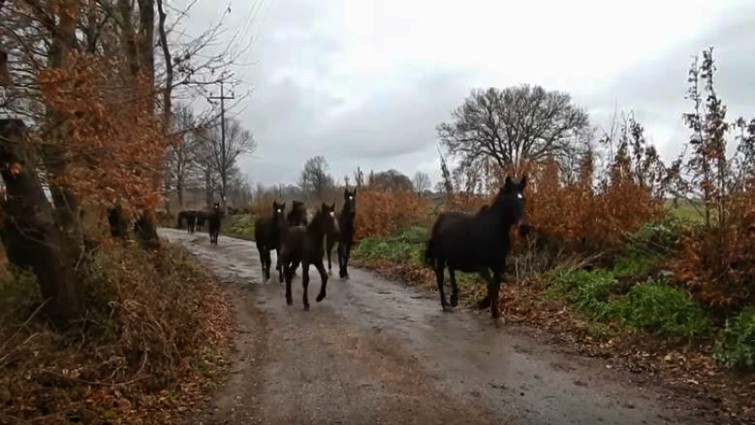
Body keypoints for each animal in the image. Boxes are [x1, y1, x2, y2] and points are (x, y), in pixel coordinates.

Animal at [428, 174, 528, 320]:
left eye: (523, 199)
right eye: (510, 200)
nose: (524, 228)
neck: (491, 230)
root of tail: (440, 219)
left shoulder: (499, 265)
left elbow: (496, 285)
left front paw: (492, 310)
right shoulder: (481, 265)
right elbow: (492, 285)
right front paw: (486, 307)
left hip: (453, 257)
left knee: (451, 271)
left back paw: (454, 298)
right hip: (441, 258)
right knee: (440, 277)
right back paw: (445, 303)